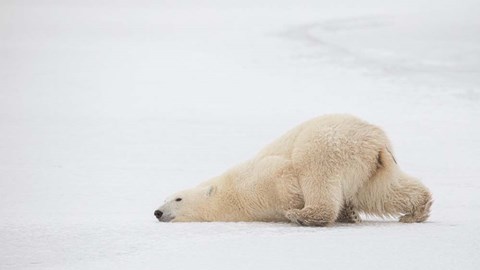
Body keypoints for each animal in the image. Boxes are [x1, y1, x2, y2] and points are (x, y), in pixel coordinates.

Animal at [156, 114, 434, 226]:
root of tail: (375, 138)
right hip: (370, 168)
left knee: (316, 174)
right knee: (381, 192)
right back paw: (415, 212)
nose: (157, 212)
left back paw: (303, 215)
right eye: (163, 198)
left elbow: (283, 175)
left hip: (328, 144)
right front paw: (351, 214)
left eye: (177, 198)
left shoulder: (258, 180)